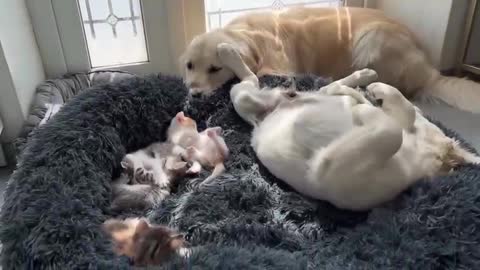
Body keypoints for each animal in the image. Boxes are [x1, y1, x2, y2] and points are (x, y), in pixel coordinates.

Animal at [218, 42, 480, 211]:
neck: (421, 147)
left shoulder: (331, 172)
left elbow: (393, 129)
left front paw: (366, 106)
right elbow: (401, 115)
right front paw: (373, 95)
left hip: (243, 98)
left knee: (250, 79)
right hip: (253, 98)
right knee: (325, 87)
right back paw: (362, 79)